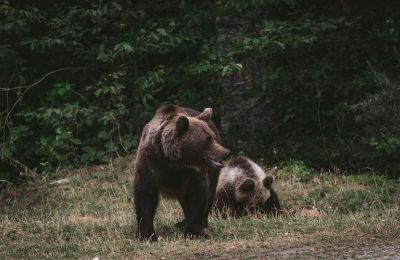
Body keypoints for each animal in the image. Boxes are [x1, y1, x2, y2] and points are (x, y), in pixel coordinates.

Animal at [133, 104, 230, 242]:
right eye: (207, 140)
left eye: (213, 138)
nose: (226, 152)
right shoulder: (150, 164)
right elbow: (145, 195)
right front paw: (146, 235)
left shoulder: (192, 174)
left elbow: (197, 196)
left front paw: (194, 232)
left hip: (211, 173)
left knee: (209, 193)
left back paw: (200, 223)